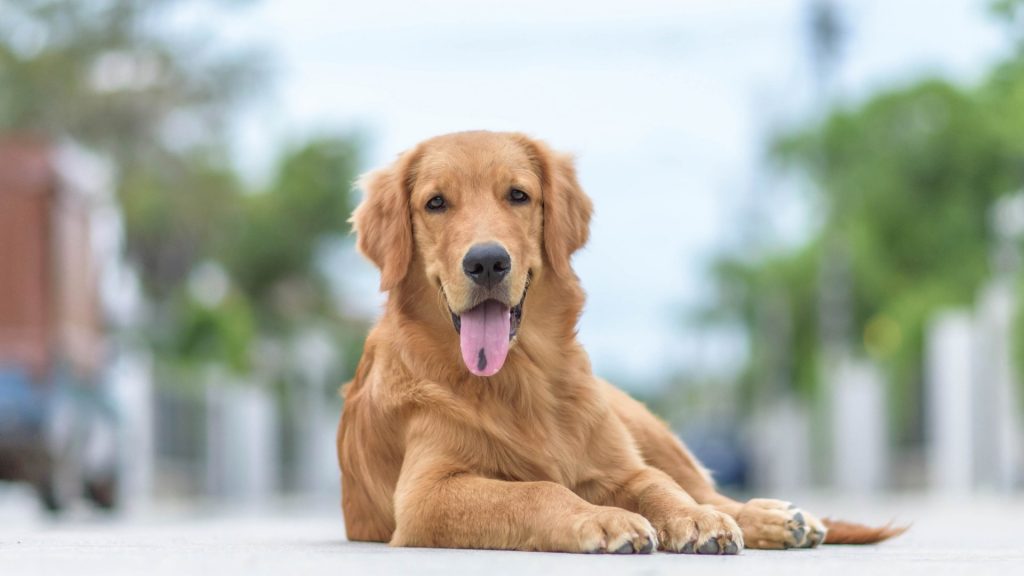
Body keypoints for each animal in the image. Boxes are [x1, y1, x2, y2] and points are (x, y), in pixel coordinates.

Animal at [337, 130, 905, 553]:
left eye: (518, 195)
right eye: (435, 203)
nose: (487, 261)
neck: (522, 380)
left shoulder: (619, 463)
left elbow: (658, 485)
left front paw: (695, 519)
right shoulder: (425, 495)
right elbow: (536, 490)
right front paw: (604, 519)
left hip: (637, 422)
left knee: (705, 487)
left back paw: (775, 518)